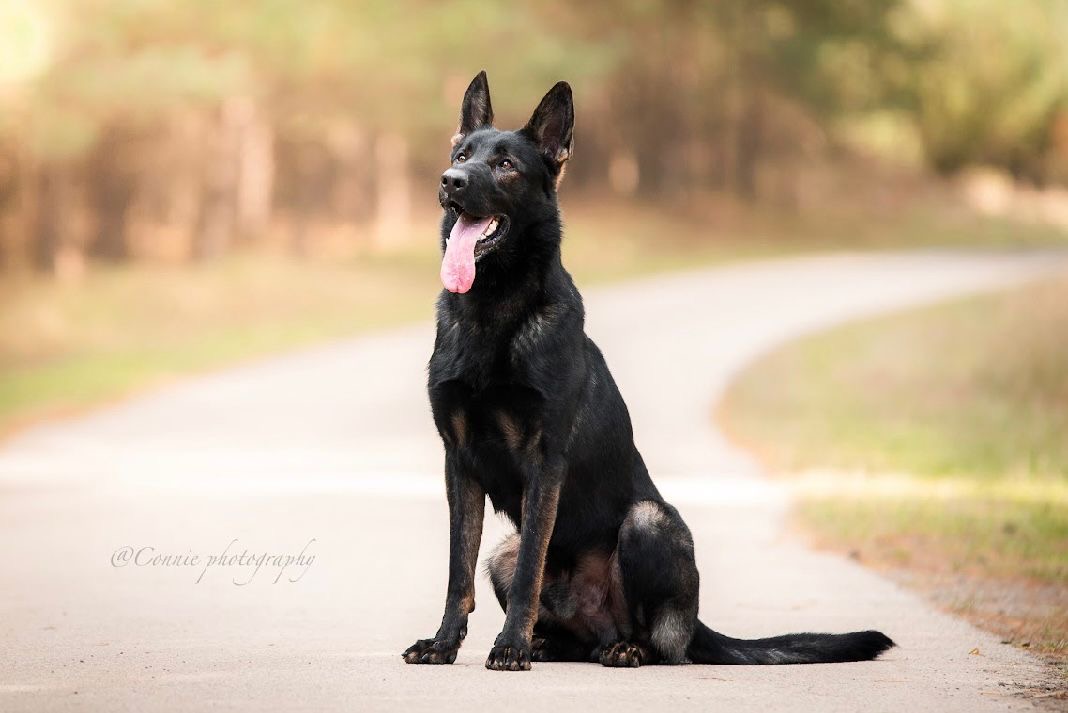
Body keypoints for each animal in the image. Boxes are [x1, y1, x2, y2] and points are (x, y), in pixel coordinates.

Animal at [401, 70, 892, 670]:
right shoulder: (459, 463)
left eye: (506, 165)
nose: (449, 182)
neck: (492, 309)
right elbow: (459, 572)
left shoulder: (545, 462)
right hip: (505, 552)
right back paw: (549, 642)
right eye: (462, 155)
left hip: (648, 523)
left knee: (662, 642)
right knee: (554, 615)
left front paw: (510, 646)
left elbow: (529, 574)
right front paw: (444, 643)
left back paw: (624, 647)